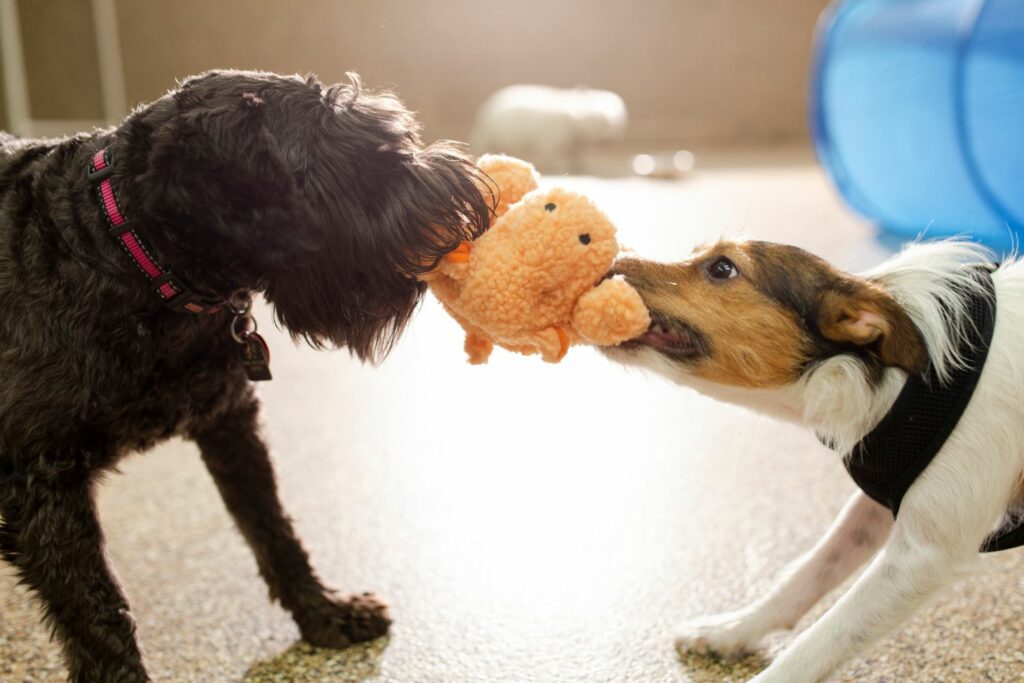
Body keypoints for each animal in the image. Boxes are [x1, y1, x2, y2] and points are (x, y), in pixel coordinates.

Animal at [0, 69, 489, 679]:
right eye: (361, 160)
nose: (464, 192)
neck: (126, 253)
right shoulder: (43, 484)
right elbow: (98, 612)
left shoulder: (228, 420)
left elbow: (273, 529)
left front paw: (326, 614)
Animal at [598, 239, 1024, 679]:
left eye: (722, 268)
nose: (606, 262)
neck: (902, 381)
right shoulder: (879, 499)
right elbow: (811, 570)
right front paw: (733, 630)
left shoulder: (924, 556)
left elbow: (821, 640)